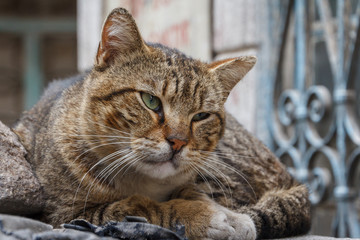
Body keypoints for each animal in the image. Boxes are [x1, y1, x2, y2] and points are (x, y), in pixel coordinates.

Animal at [12, 7, 310, 240]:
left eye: (200, 116)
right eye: (150, 101)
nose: (178, 142)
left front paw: (216, 210)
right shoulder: (64, 214)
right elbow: (139, 207)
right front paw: (203, 216)